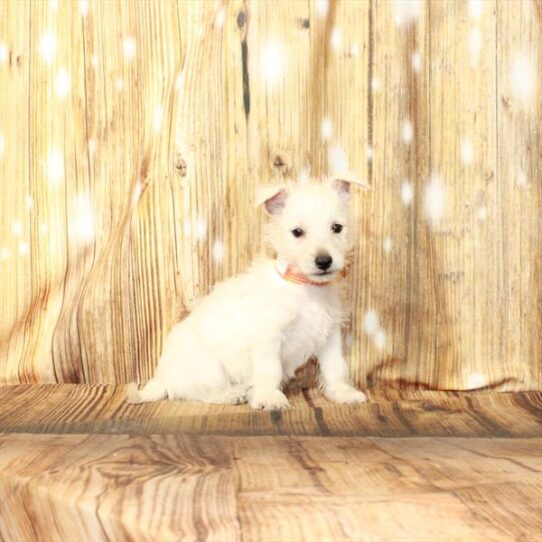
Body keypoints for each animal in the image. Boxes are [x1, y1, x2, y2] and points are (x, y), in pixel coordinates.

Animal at [129, 178, 370, 412]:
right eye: (297, 232)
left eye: (337, 228)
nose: (324, 261)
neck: (305, 288)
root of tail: (160, 377)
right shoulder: (268, 338)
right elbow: (271, 370)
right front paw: (270, 397)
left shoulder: (330, 336)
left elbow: (335, 367)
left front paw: (342, 393)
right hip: (208, 368)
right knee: (195, 393)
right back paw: (232, 394)